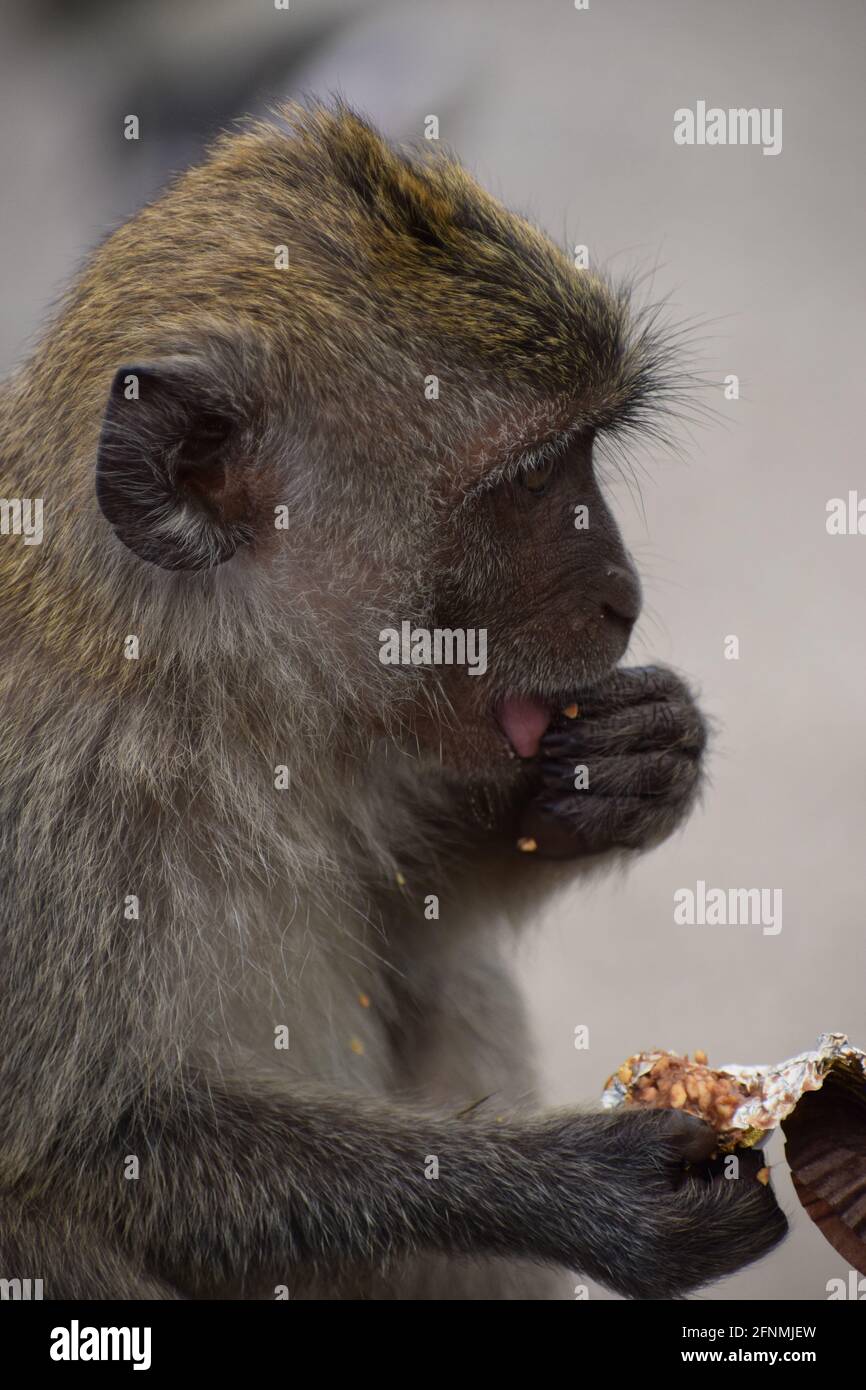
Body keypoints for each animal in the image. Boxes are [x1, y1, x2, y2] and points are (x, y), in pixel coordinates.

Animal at [0, 101, 787, 1301]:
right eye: (530, 481)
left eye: (586, 454)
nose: (624, 597)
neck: (197, 685)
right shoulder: (58, 801)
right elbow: (91, 1142)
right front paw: (594, 1193)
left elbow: (411, 918)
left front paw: (635, 762)